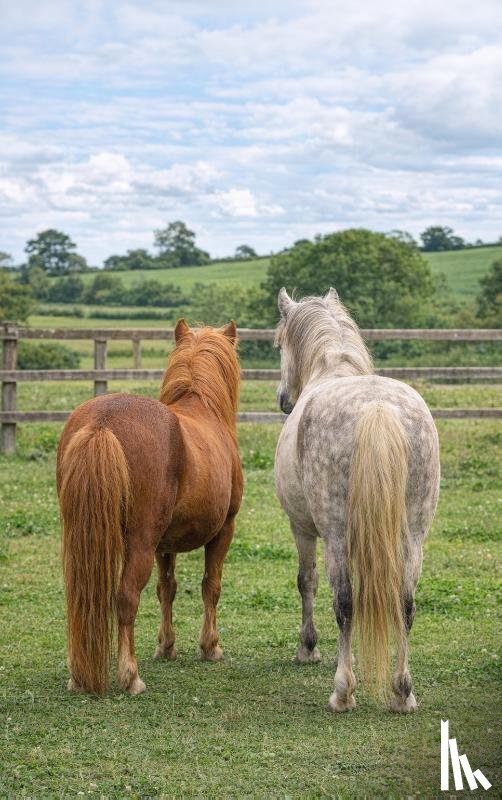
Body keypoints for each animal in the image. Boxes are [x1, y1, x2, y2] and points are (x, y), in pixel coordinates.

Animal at [57, 319, 242, 696]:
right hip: (139, 544)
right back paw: (131, 677)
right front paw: (210, 647)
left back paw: (78, 676)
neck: (203, 408)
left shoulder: (164, 544)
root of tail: (102, 422)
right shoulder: (223, 531)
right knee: (126, 598)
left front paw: (166, 646)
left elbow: (166, 589)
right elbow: (211, 586)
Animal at [274, 288, 440, 713]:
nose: (283, 400)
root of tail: (376, 408)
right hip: (413, 536)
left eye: (278, 345)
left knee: (345, 602)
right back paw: (403, 693)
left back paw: (342, 692)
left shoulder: (300, 527)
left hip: (335, 536)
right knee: (405, 602)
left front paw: (309, 649)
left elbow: (307, 581)